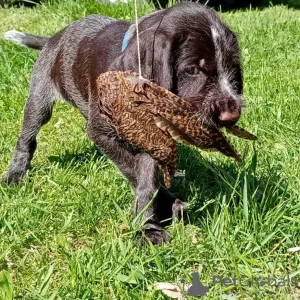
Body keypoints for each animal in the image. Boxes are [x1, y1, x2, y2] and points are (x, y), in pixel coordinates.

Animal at [2, 3, 244, 245]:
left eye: (234, 68)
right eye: (192, 70)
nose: (231, 116)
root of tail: (53, 38)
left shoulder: (152, 137)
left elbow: (146, 182)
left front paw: (150, 224)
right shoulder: (100, 131)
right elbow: (134, 171)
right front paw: (155, 218)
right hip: (39, 100)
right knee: (27, 138)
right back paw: (15, 174)